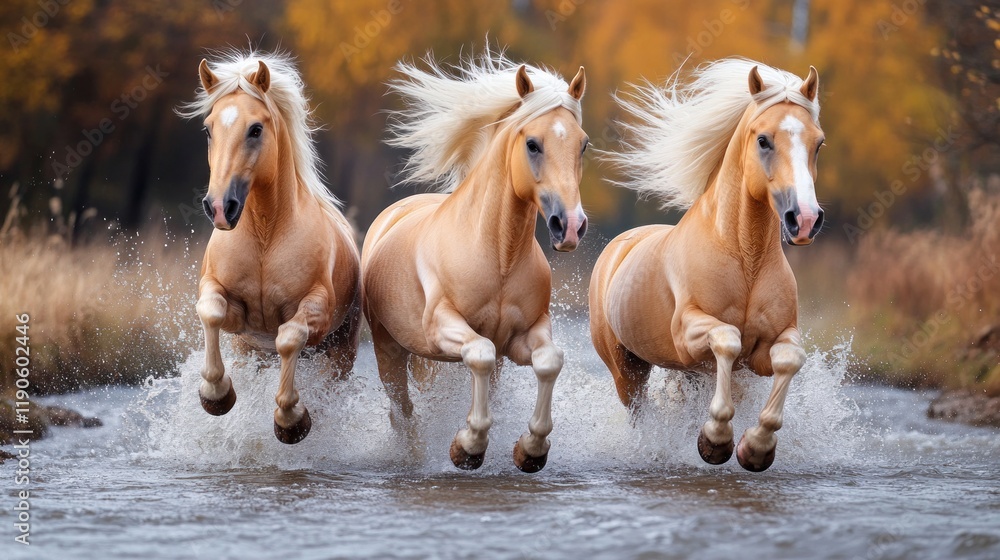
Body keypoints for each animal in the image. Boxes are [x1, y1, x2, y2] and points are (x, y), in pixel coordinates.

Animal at [177, 51, 362, 444]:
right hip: (250, 352)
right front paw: (217, 395)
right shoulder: (231, 311)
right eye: (208, 129)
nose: (220, 207)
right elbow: (210, 311)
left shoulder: (316, 312)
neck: (265, 237)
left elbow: (290, 337)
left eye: (255, 129)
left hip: (341, 351)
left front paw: (291, 420)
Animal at [362, 51, 588, 472]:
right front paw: (467, 447)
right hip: (390, 350)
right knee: (402, 411)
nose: (569, 227)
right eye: (532, 144)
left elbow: (549, 361)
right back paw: (413, 455)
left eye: (583, 144)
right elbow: (478, 355)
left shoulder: (520, 337)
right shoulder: (443, 327)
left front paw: (530, 449)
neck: (497, 257)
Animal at [590, 59, 825, 471]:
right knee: (639, 412)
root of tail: (618, 247)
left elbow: (789, 359)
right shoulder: (689, 335)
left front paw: (756, 447)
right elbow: (727, 340)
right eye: (764, 140)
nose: (806, 219)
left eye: (819, 142)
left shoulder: (764, 352)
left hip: (685, 373)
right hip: (627, 369)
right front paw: (715, 440)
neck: (745, 259)